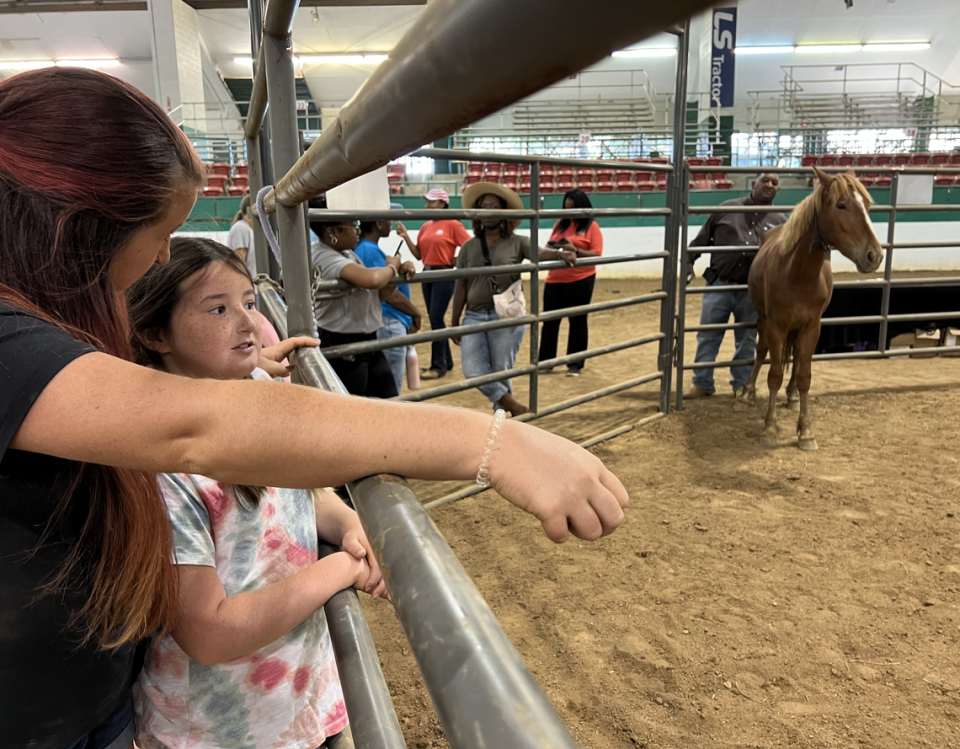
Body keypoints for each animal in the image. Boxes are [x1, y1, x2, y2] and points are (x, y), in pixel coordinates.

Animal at [736, 167, 884, 450]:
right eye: (841, 205)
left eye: (868, 205)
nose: (874, 256)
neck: (797, 274)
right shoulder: (775, 327)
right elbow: (773, 374)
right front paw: (769, 427)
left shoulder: (812, 327)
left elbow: (805, 375)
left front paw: (805, 430)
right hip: (764, 319)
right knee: (762, 353)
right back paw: (748, 391)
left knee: (795, 359)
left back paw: (792, 396)